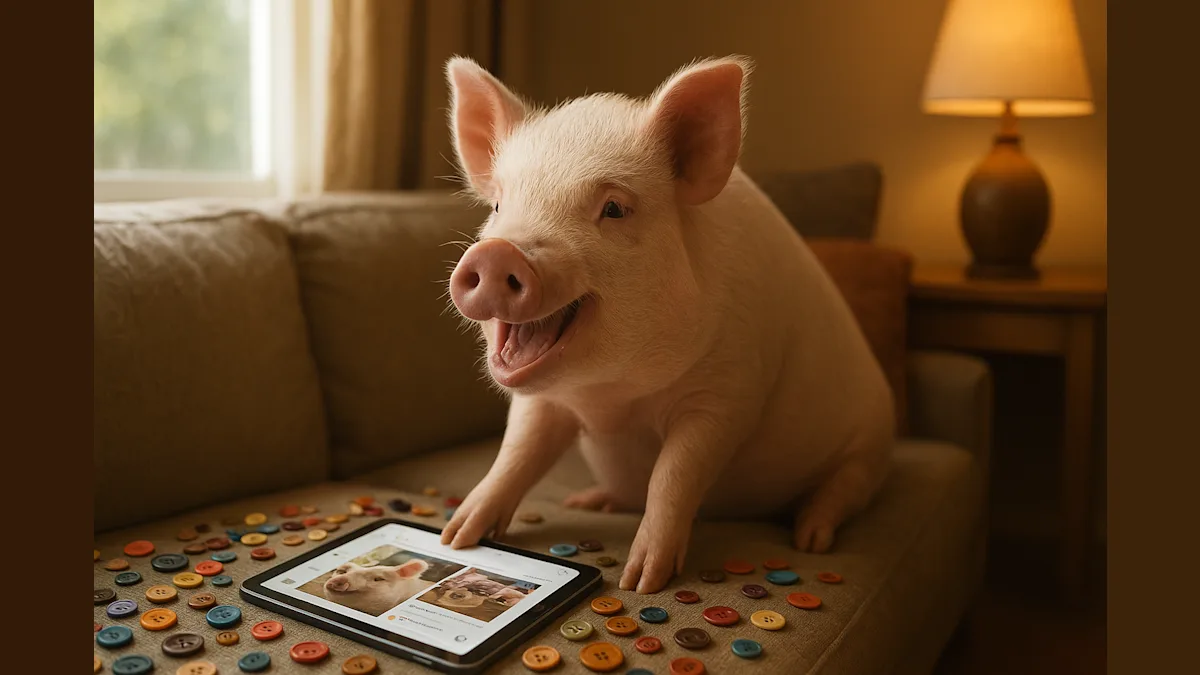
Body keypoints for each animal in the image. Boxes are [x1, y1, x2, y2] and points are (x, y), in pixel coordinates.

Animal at [439, 55, 895, 594]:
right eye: (498, 205)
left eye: (614, 208)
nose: (496, 253)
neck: (614, 399)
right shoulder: (542, 401)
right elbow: (517, 454)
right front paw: (456, 537)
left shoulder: (728, 393)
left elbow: (675, 474)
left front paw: (641, 581)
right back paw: (589, 501)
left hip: (870, 446)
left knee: (843, 488)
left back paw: (811, 538)